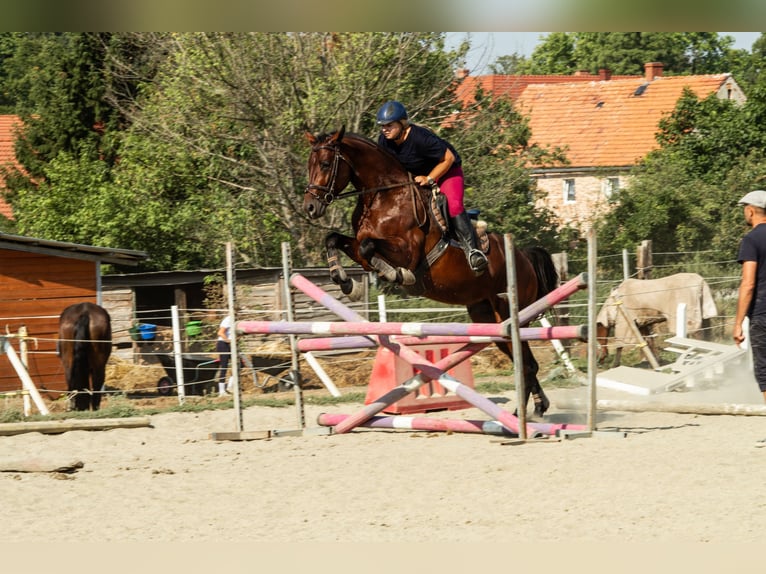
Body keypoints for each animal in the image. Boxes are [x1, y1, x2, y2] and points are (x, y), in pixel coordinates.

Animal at [304, 127, 560, 418]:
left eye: (326, 164)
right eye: (309, 165)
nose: (310, 207)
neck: (383, 197)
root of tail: (523, 256)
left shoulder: (407, 250)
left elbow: (371, 247)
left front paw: (398, 276)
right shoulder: (361, 251)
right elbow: (335, 240)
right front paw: (346, 283)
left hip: (511, 314)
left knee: (527, 363)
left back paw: (521, 416)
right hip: (489, 319)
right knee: (523, 361)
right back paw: (536, 408)